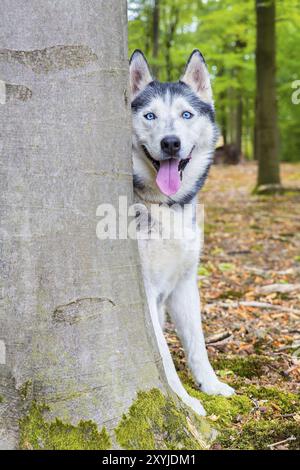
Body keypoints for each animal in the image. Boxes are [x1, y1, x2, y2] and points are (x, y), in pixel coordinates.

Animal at [129, 48, 234, 414]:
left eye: (186, 114)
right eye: (150, 116)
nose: (171, 143)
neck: (166, 206)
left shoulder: (184, 284)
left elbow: (197, 344)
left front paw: (210, 385)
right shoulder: (145, 294)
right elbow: (162, 358)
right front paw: (185, 402)